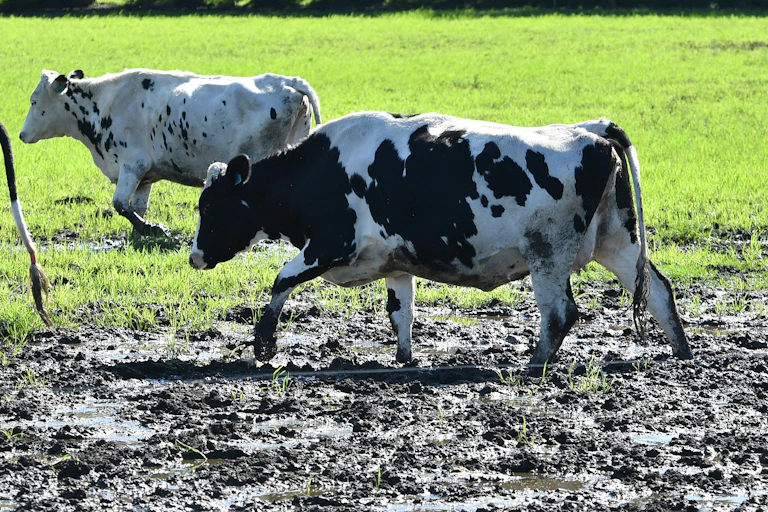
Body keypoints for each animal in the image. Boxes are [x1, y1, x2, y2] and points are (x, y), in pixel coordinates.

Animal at [19, 68, 321, 237]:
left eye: (33, 101)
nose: (22, 135)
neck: (104, 104)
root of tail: (287, 81)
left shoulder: (132, 164)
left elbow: (119, 203)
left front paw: (153, 229)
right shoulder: (146, 175)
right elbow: (136, 206)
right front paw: (142, 232)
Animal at [188, 111, 694, 367]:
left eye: (208, 208)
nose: (194, 256)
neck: (318, 170)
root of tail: (590, 129)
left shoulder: (331, 244)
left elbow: (281, 280)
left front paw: (263, 344)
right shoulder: (394, 263)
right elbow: (401, 314)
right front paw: (404, 359)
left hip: (548, 253)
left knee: (560, 312)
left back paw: (534, 364)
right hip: (618, 239)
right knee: (658, 291)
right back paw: (682, 353)